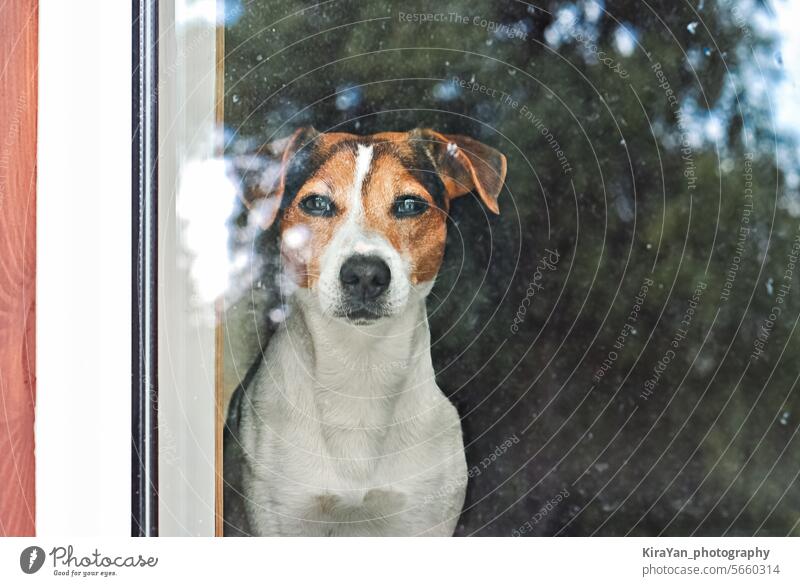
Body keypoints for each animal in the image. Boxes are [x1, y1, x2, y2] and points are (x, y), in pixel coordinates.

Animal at [222, 126, 504, 532]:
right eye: (317, 203)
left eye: (409, 205)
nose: (366, 275)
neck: (360, 367)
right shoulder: (280, 516)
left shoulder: (425, 517)